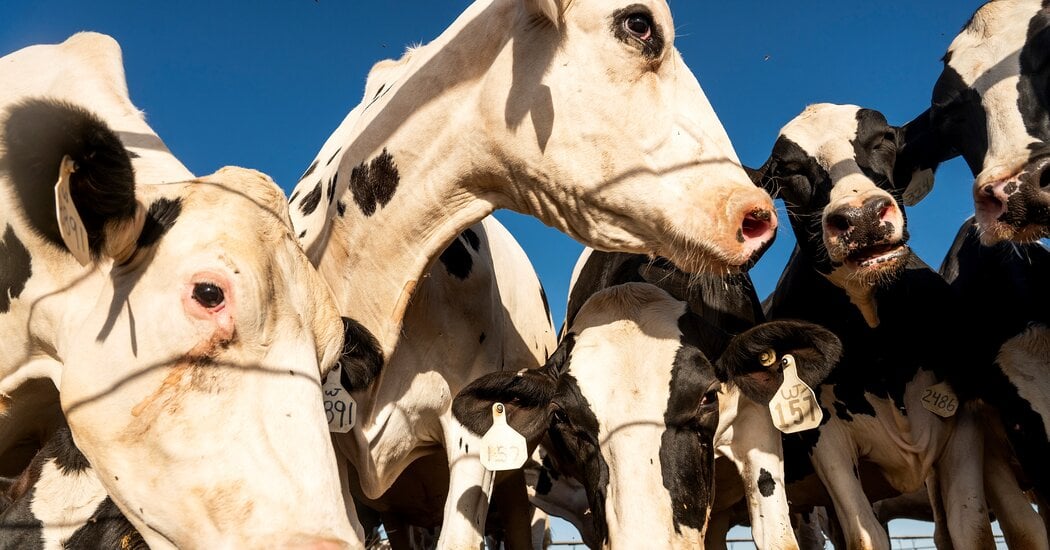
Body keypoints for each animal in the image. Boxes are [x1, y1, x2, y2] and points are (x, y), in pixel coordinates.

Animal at [755, 102, 1041, 550]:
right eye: (788, 170)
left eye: (885, 138)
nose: (861, 217)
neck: (880, 349)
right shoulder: (824, 437)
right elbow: (866, 536)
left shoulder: (966, 421)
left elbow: (970, 527)